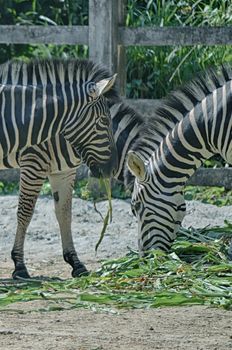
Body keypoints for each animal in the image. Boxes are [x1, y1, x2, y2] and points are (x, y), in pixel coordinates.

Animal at [4, 101, 143, 278]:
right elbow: (25, 213)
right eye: (136, 207)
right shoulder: (33, 162)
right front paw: (20, 265)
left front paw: (75, 263)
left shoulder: (64, 171)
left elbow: (65, 215)